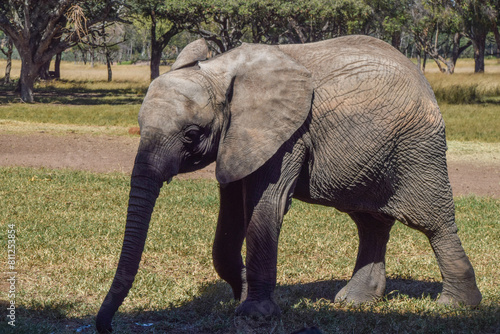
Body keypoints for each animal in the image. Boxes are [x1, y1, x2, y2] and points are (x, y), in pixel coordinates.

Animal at [95, 35, 482, 332]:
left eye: (191, 134)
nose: (107, 327)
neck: (222, 71)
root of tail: (422, 78)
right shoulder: (237, 139)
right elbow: (232, 212)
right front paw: (243, 292)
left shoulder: (287, 135)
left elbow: (267, 204)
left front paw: (254, 316)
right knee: (370, 223)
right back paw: (354, 302)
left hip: (417, 149)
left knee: (433, 223)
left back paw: (456, 307)